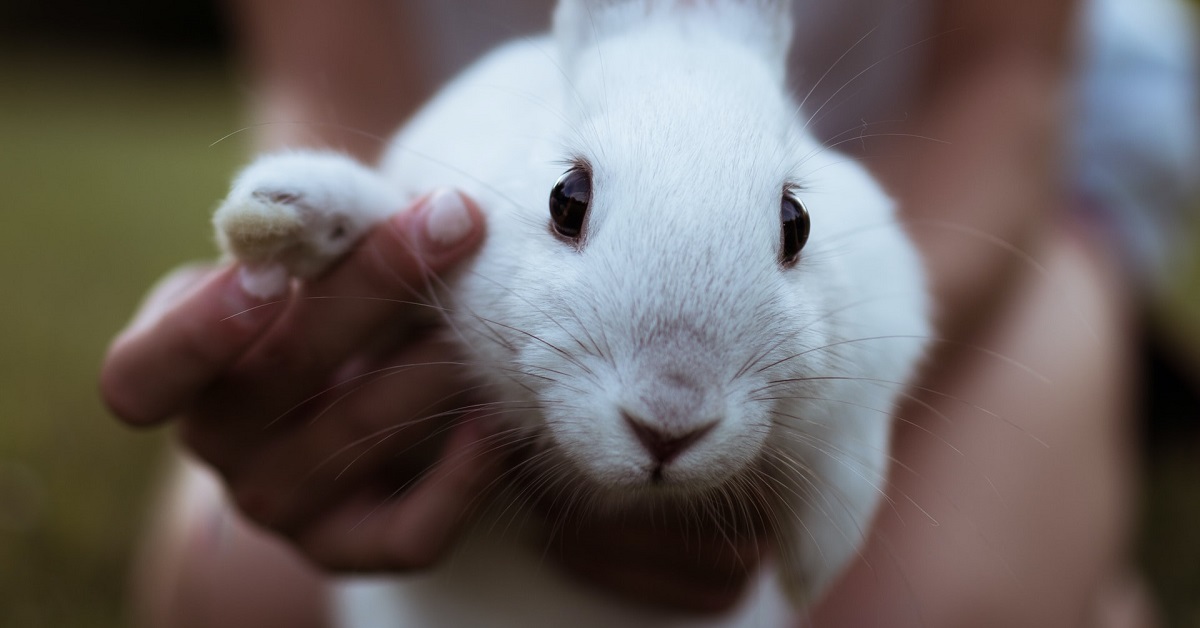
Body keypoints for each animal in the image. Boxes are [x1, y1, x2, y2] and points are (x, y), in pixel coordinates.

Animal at [213, 2, 926, 624]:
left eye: (796, 221)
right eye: (566, 198)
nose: (668, 422)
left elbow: (852, 441)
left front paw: (817, 560)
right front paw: (279, 215)